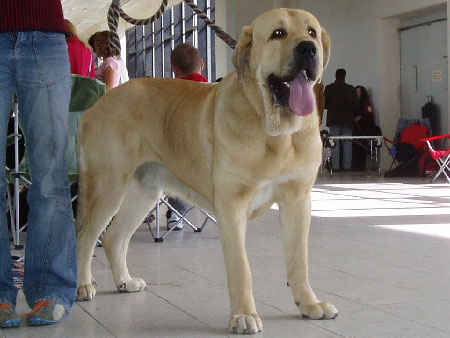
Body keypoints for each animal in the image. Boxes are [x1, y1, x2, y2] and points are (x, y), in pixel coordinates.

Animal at [76, 7, 338, 332]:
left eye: (311, 31)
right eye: (278, 33)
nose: (308, 49)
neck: (276, 133)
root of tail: (96, 105)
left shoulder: (298, 200)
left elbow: (299, 260)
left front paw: (309, 304)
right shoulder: (231, 205)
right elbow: (241, 267)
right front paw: (243, 315)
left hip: (144, 192)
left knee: (113, 238)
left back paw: (124, 281)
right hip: (107, 186)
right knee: (85, 237)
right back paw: (83, 286)